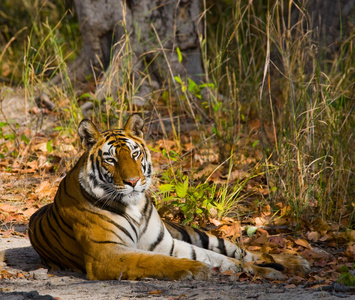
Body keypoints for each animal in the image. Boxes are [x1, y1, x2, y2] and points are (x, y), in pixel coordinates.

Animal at [29, 114, 310, 282]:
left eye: (135, 154)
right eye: (111, 160)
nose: (133, 182)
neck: (133, 206)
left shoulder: (166, 243)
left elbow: (225, 259)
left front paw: (265, 271)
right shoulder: (106, 253)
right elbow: (153, 261)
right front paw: (194, 269)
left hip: (196, 233)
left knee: (244, 251)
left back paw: (295, 262)